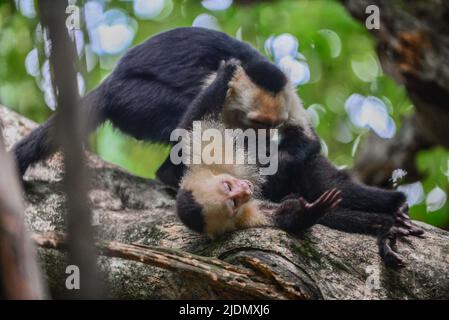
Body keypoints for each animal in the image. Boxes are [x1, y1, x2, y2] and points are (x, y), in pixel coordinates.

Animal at [174, 59, 424, 268]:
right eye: (232, 201)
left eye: (228, 186)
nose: (244, 189)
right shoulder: (245, 217)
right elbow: (288, 215)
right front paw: (310, 210)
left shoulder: (209, 154)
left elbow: (194, 123)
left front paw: (227, 71)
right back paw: (388, 225)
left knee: (325, 179)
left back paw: (396, 205)